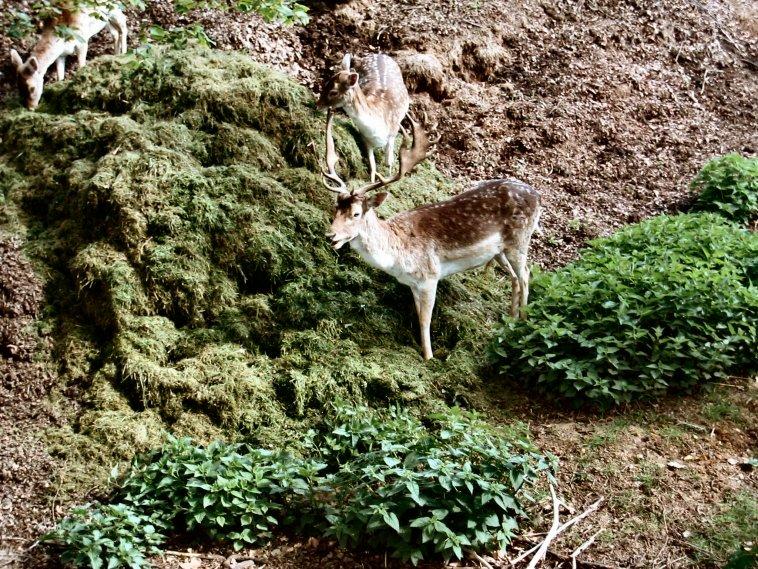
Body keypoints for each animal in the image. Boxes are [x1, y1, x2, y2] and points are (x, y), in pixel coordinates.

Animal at [316, 52, 410, 182]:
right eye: (325, 84)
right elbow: (373, 168)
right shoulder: (365, 139)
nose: (317, 105)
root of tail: (380, 54)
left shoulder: (393, 131)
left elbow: (389, 163)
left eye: (333, 92)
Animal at [324, 112, 544, 360]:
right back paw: (508, 323)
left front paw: (429, 358)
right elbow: (418, 314)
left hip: (520, 239)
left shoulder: (430, 276)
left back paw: (523, 324)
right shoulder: (412, 283)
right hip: (499, 250)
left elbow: (425, 321)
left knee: (525, 275)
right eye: (335, 208)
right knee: (514, 278)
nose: (330, 235)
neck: (397, 256)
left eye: (356, 213)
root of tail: (538, 196)